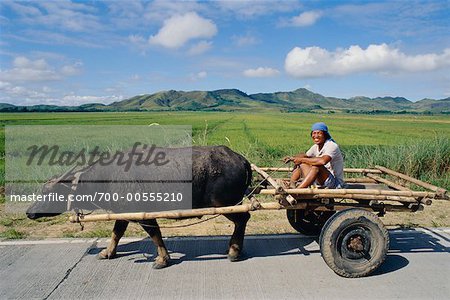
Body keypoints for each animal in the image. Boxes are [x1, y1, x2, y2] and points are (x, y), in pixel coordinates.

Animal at [27, 145, 253, 268]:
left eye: (49, 192)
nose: (29, 212)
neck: (107, 178)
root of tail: (240, 159)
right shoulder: (123, 213)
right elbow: (116, 233)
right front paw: (107, 252)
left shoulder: (145, 215)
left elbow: (155, 235)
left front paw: (162, 259)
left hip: (227, 204)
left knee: (243, 219)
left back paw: (234, 251)